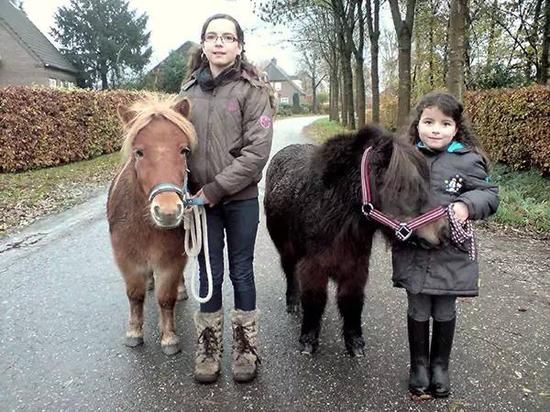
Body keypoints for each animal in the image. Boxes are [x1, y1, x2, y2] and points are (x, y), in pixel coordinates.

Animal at [106, 95, 197, 356]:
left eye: (184, 150)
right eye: (139, 152)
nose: (167, 211)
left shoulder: (171, 259)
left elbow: (166, 298)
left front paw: (169, 338)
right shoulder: (126, 258)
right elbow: (134, 295)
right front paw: (134, 333)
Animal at [266, 125, 450, 358]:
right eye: (401, 187)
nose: (444, 231)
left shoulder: (356, 267)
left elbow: (351, 302)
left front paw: (354, 342)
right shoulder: (313, 267)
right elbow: (314, 301)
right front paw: (308, 339)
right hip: (286, 249)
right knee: (290, 274)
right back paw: (292, 303)